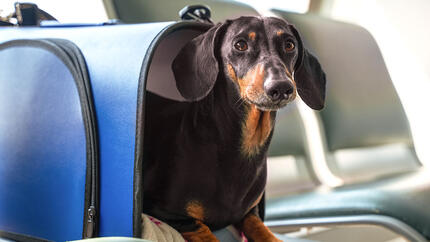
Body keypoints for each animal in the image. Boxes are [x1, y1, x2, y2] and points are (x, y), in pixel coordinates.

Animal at [143, 16, 324, 241]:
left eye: (289, 45)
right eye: (240, 45)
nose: (281, 87)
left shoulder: (250, 213)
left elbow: (261, 229)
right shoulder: (167, 212)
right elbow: (203, 230)